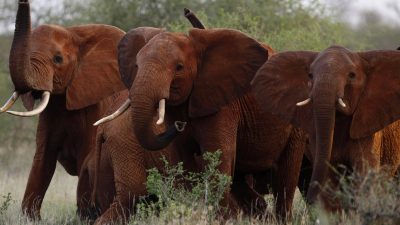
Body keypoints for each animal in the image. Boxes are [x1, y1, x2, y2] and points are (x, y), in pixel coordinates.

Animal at [0, 0, 125, 218]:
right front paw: (30, 218)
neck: (74, 33)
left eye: (57, 59)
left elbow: (86, 156)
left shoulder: (96, 104)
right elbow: (43, 158)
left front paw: (84, 217)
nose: (24, 1)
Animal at [95, 25, 304, 220]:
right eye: (136, 66)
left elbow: (218, 160)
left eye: (179, 67)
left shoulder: (223, 105)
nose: (179, 126)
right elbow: (184, 163)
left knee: (286, 179)